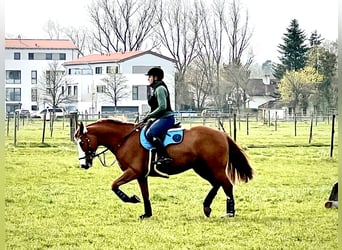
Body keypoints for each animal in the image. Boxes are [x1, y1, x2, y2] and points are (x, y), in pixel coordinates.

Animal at [74, 119, 251, 219]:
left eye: (81, 142)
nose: (83, 165)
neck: (124, 139)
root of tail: (222, 134)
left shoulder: (133, 171)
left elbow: (114, 185)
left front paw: (131, 199)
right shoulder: (141, 175)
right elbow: (145, 194)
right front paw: (147, 213)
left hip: (215, 167)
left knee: (227, 185)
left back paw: (230, 213)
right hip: (201, 168)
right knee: (217, 184)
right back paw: (207, 206)